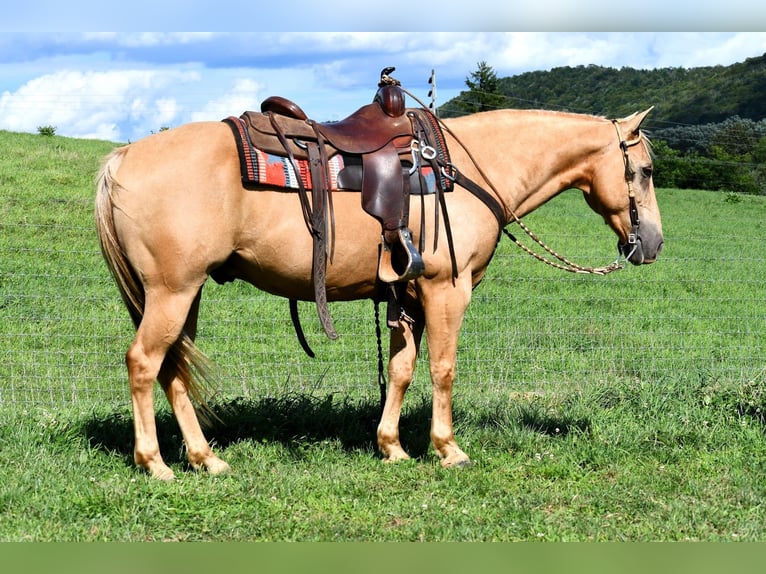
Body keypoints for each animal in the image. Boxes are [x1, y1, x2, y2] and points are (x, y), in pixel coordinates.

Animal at [94, 106, 660, 480]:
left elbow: (401, 370)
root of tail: (123, 158)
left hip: (183, 295)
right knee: (144, 362)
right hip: (172, 291)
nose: (652, 243)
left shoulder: (407, 295)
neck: (467, 170)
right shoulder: (446, 290)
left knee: (174, 368)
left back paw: (205, 458)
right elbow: (443, 369)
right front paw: (447, 448)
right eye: (646, 170)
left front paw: (392, 446)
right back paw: (154, 463)